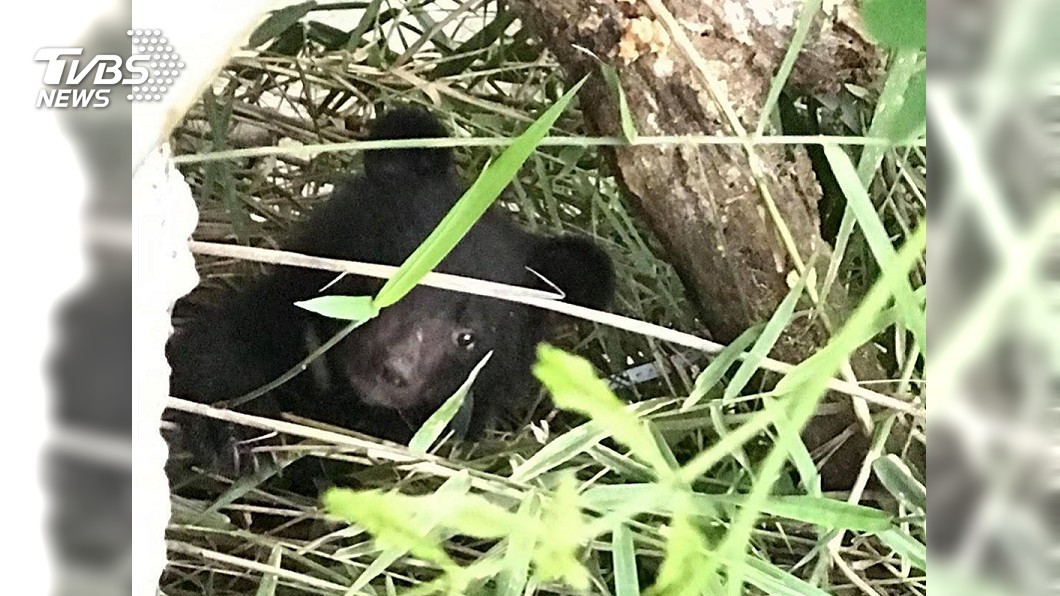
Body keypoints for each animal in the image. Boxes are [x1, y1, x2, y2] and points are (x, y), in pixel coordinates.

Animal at [165, 107, 616, 485]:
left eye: (467, 336)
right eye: (389, 274)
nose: (392, 370)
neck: (346, 401)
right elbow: (213, 357)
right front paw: (230, 429)